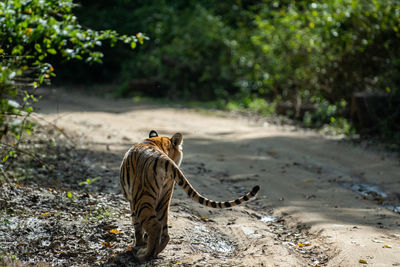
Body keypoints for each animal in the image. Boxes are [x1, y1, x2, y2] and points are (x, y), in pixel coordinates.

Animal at [120, 131, 260, 262]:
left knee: (154, 226)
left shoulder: (132, 201)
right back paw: (153, 252)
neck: (157, 142)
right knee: (164, 232)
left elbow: (136, 225)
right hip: (163, 199)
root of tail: (163, 158)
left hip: (142, 198)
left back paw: (143, 255)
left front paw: (138, 244)